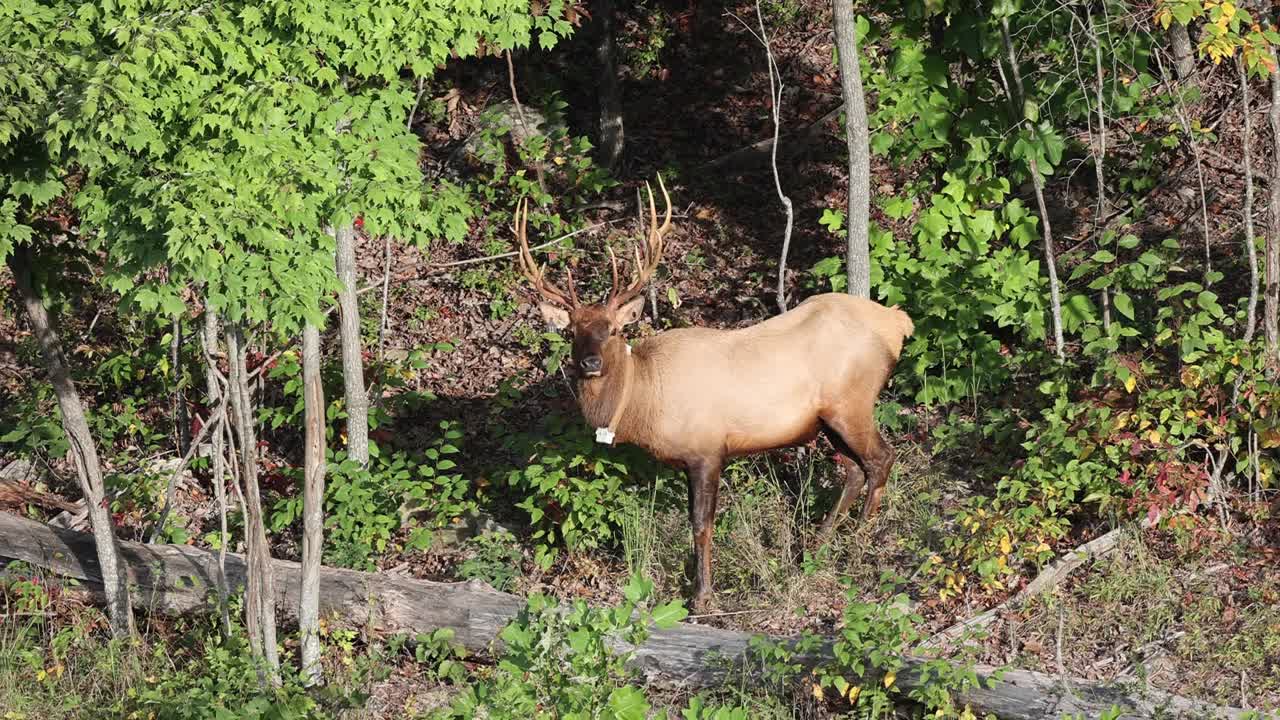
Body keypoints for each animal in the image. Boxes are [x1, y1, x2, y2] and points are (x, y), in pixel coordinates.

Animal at [514, 175, 916, 604]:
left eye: (614, 329)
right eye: (573, 332)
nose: (590, 363)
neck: (644, 401)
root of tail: (897, 323)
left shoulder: (707, 449)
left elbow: (701, 524)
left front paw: (702, 595)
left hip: (852, 401)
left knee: (881, 459)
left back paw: (859, 540)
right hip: (828, 418)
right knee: (855, 470)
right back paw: (815, 546)